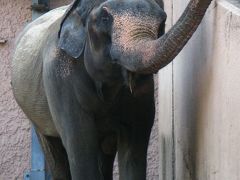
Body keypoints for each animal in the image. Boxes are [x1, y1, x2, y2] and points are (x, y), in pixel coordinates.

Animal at [12, 0, 213, 179]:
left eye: (163, 21)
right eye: (104, 18)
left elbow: (134, 144)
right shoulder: (59, 79)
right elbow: (80, 143)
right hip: (35, 113)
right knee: (54, 151)